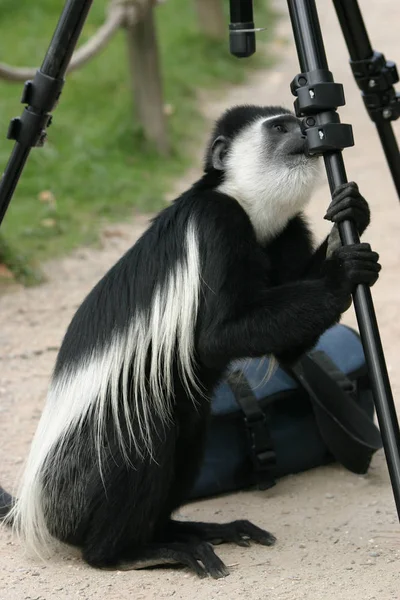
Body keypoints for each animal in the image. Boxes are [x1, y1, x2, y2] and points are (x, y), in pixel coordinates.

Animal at [0, 103, 382, 576]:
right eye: (281, 127)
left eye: (300, 121)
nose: (312, 131)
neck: (247, 207)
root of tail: (36, 509)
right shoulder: (218, 223)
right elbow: (214, 338)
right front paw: (341, 275)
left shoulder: (290, 230)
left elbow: (289, 349)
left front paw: (352, 212)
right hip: (88, 475)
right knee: (145, 435)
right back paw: (133, 553)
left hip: (187, 432)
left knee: (184, 440)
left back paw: (194, 531)